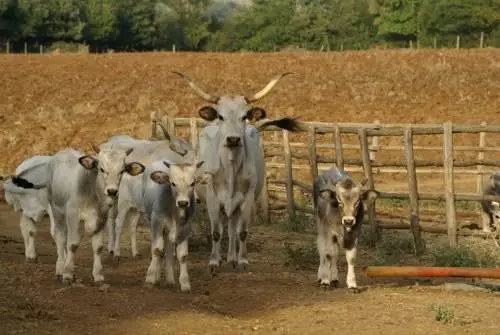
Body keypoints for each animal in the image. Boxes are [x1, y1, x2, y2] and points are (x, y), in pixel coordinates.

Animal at [11, 146, 146, 284]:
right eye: (101, 169)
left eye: (122, 170)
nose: (112, 191)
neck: (93, 192)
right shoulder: (73, 215)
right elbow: (73, 244)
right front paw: (67, 274)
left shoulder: (101, 219)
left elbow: (98, 247)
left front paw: (98, 275)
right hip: (57, 211)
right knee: (60, 237)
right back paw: (60, 267)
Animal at [143, 159, 211, 290]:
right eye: (173, 183)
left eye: (192, 183)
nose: (183, 202)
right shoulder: (157, 223)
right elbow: (157, 250)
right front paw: (150, 277)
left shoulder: (185, 229)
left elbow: (183, 256)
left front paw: (185, 283)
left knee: (168, 249)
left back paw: (170, 279)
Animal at [172, 70, 302, 272]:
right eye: (220, 116)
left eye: (244, 116)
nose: (233, 139)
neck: (231, 169)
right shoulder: (212, 199)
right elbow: (216, 232)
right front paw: (214, 262)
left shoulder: (246, 199)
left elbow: (242, 232)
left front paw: (242, 260)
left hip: (236, 204)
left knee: (232, 228)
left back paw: (232, 257)